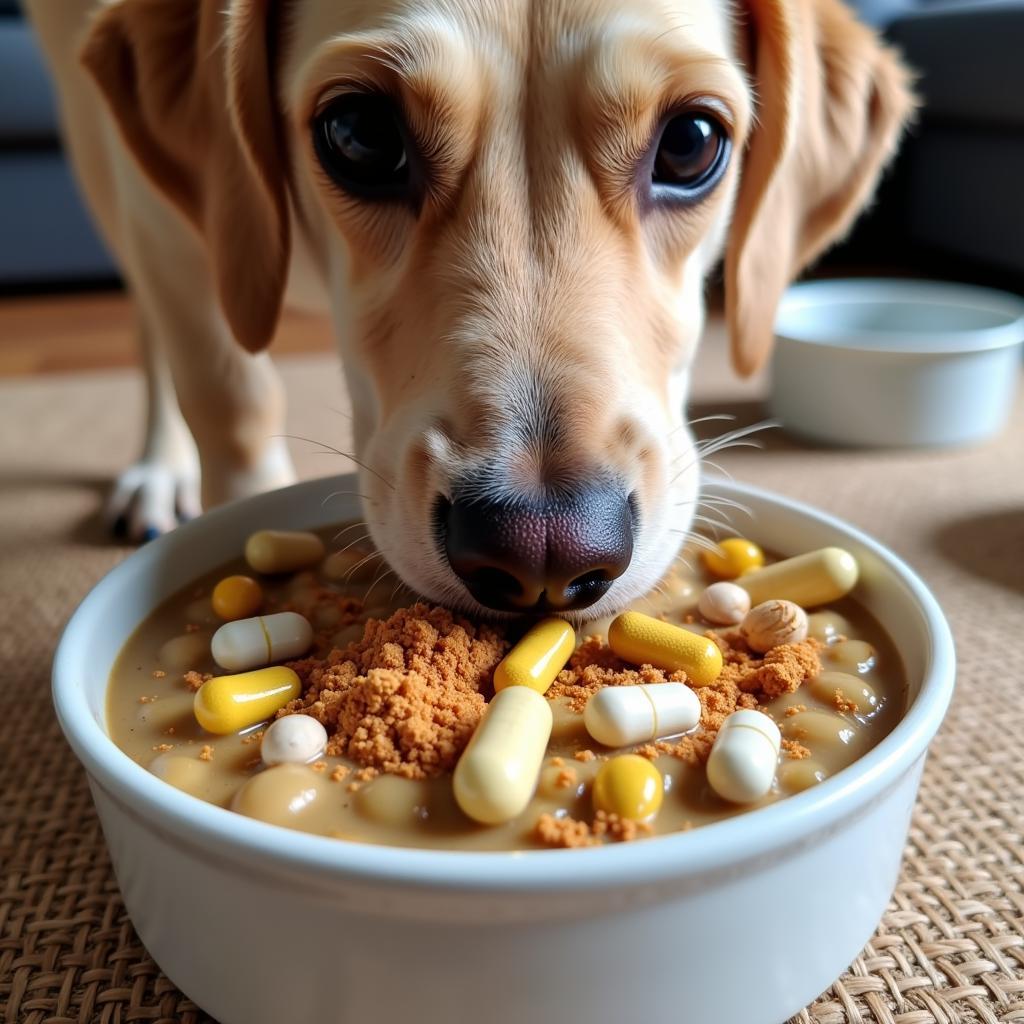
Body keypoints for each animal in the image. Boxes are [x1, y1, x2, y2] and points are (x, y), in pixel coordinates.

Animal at [25, 0, 913, 618]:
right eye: (359, 133)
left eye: (691, 143)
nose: (546, 550)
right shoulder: (163, 222)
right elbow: (230, 396)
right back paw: (159, 471)